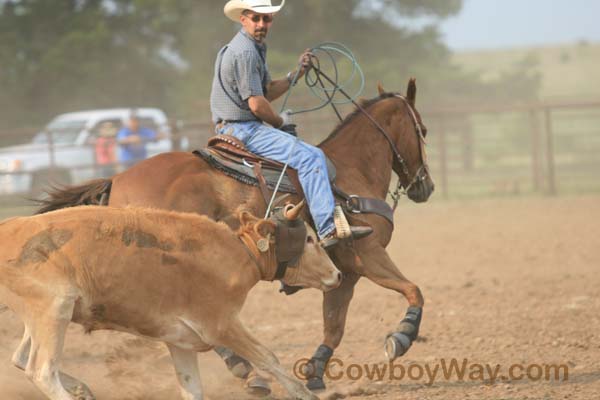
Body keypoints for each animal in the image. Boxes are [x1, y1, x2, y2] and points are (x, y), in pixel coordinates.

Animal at [36, 79, 432, 392]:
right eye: (423, 131)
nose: (424, 187)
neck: (350, 172)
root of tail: (118, 179)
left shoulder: (344, 272)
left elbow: (334, 326)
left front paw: (315, 372)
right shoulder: (368, 254)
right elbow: (414, 289)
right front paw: (401, 337)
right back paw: (246, 370)